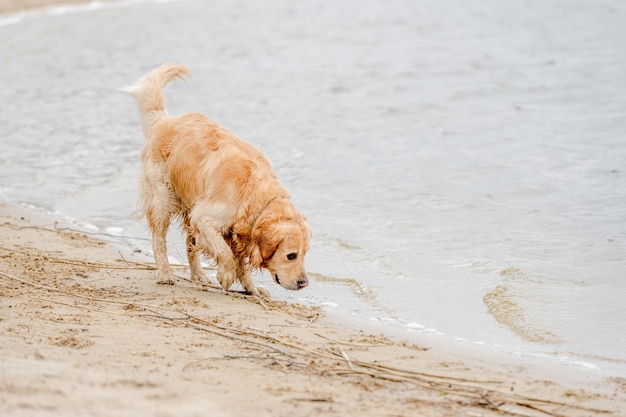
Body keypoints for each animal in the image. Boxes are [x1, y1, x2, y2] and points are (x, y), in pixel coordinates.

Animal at [122, 61, 310, 298]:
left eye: (305, 254)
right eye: (291, 255)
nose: (304, 283)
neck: (252, 195)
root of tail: (163, 121)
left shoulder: (239, 235)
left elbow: (241, 262)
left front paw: (251, 287)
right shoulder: (205, 218)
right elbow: (224, 251)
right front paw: (226, 275)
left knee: (190, 243)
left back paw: (199, 276)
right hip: (161, 199)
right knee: (159, 240)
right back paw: (165, 273)